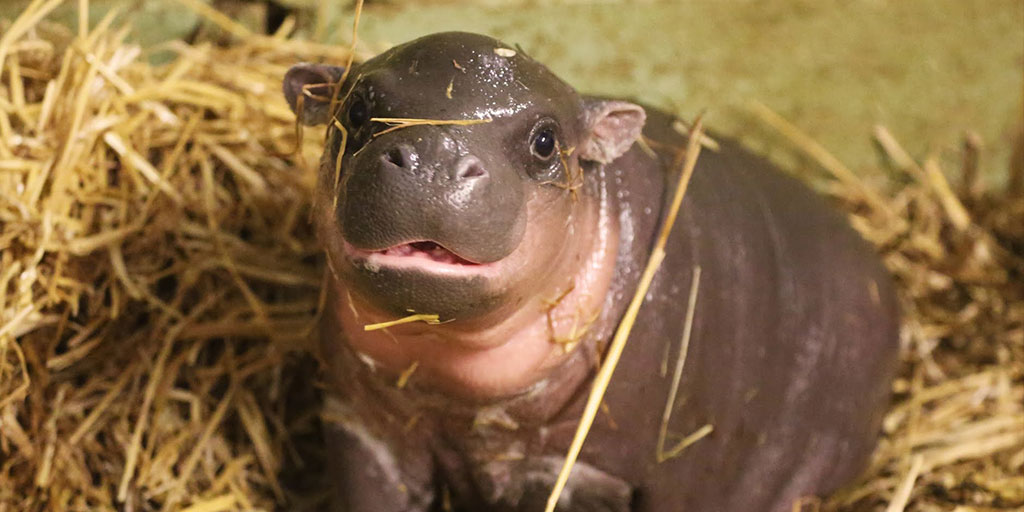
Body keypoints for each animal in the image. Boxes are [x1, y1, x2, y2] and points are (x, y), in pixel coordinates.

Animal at [282, 32, 899, 512]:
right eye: (355, 110)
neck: (445, 382)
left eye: (546, 141)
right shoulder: (362, 424)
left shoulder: (577, 469)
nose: (435, 155)